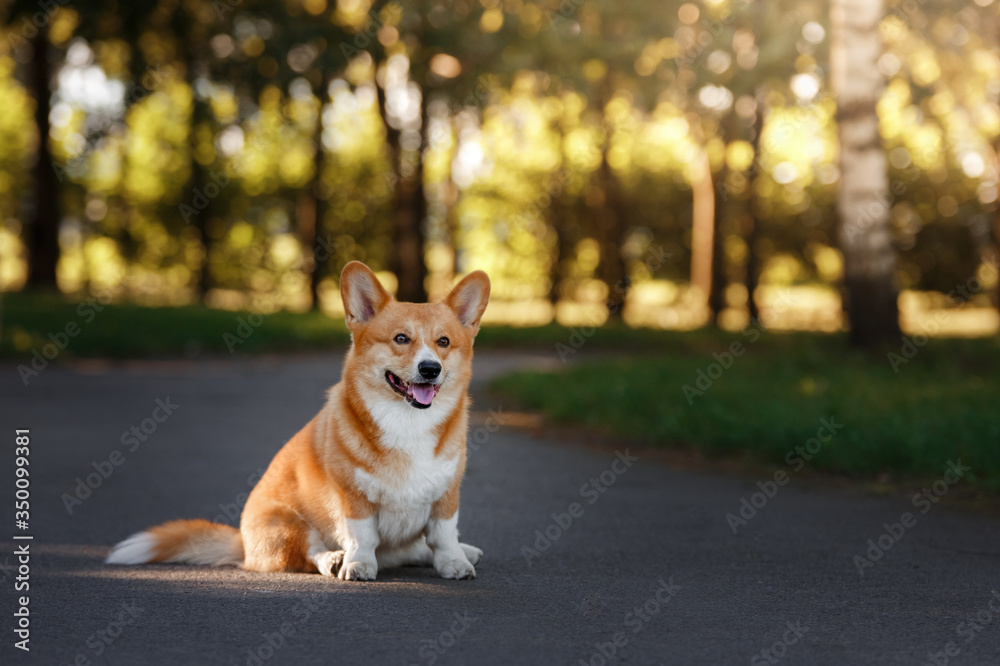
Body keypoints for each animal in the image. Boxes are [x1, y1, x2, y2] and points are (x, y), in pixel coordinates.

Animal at [107, 262, 490, 580]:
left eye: (444, 342)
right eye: (401, 338)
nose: (430, 369)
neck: (407, 422)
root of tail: (242, 543)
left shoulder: (446, 495)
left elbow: (443, 535)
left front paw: (454, 561)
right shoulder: (353, 499)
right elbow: (362, 537)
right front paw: (358, 565)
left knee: (416, 548)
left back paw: (466, 551)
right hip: (288, 524)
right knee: (309, 554)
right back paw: (334, 560)